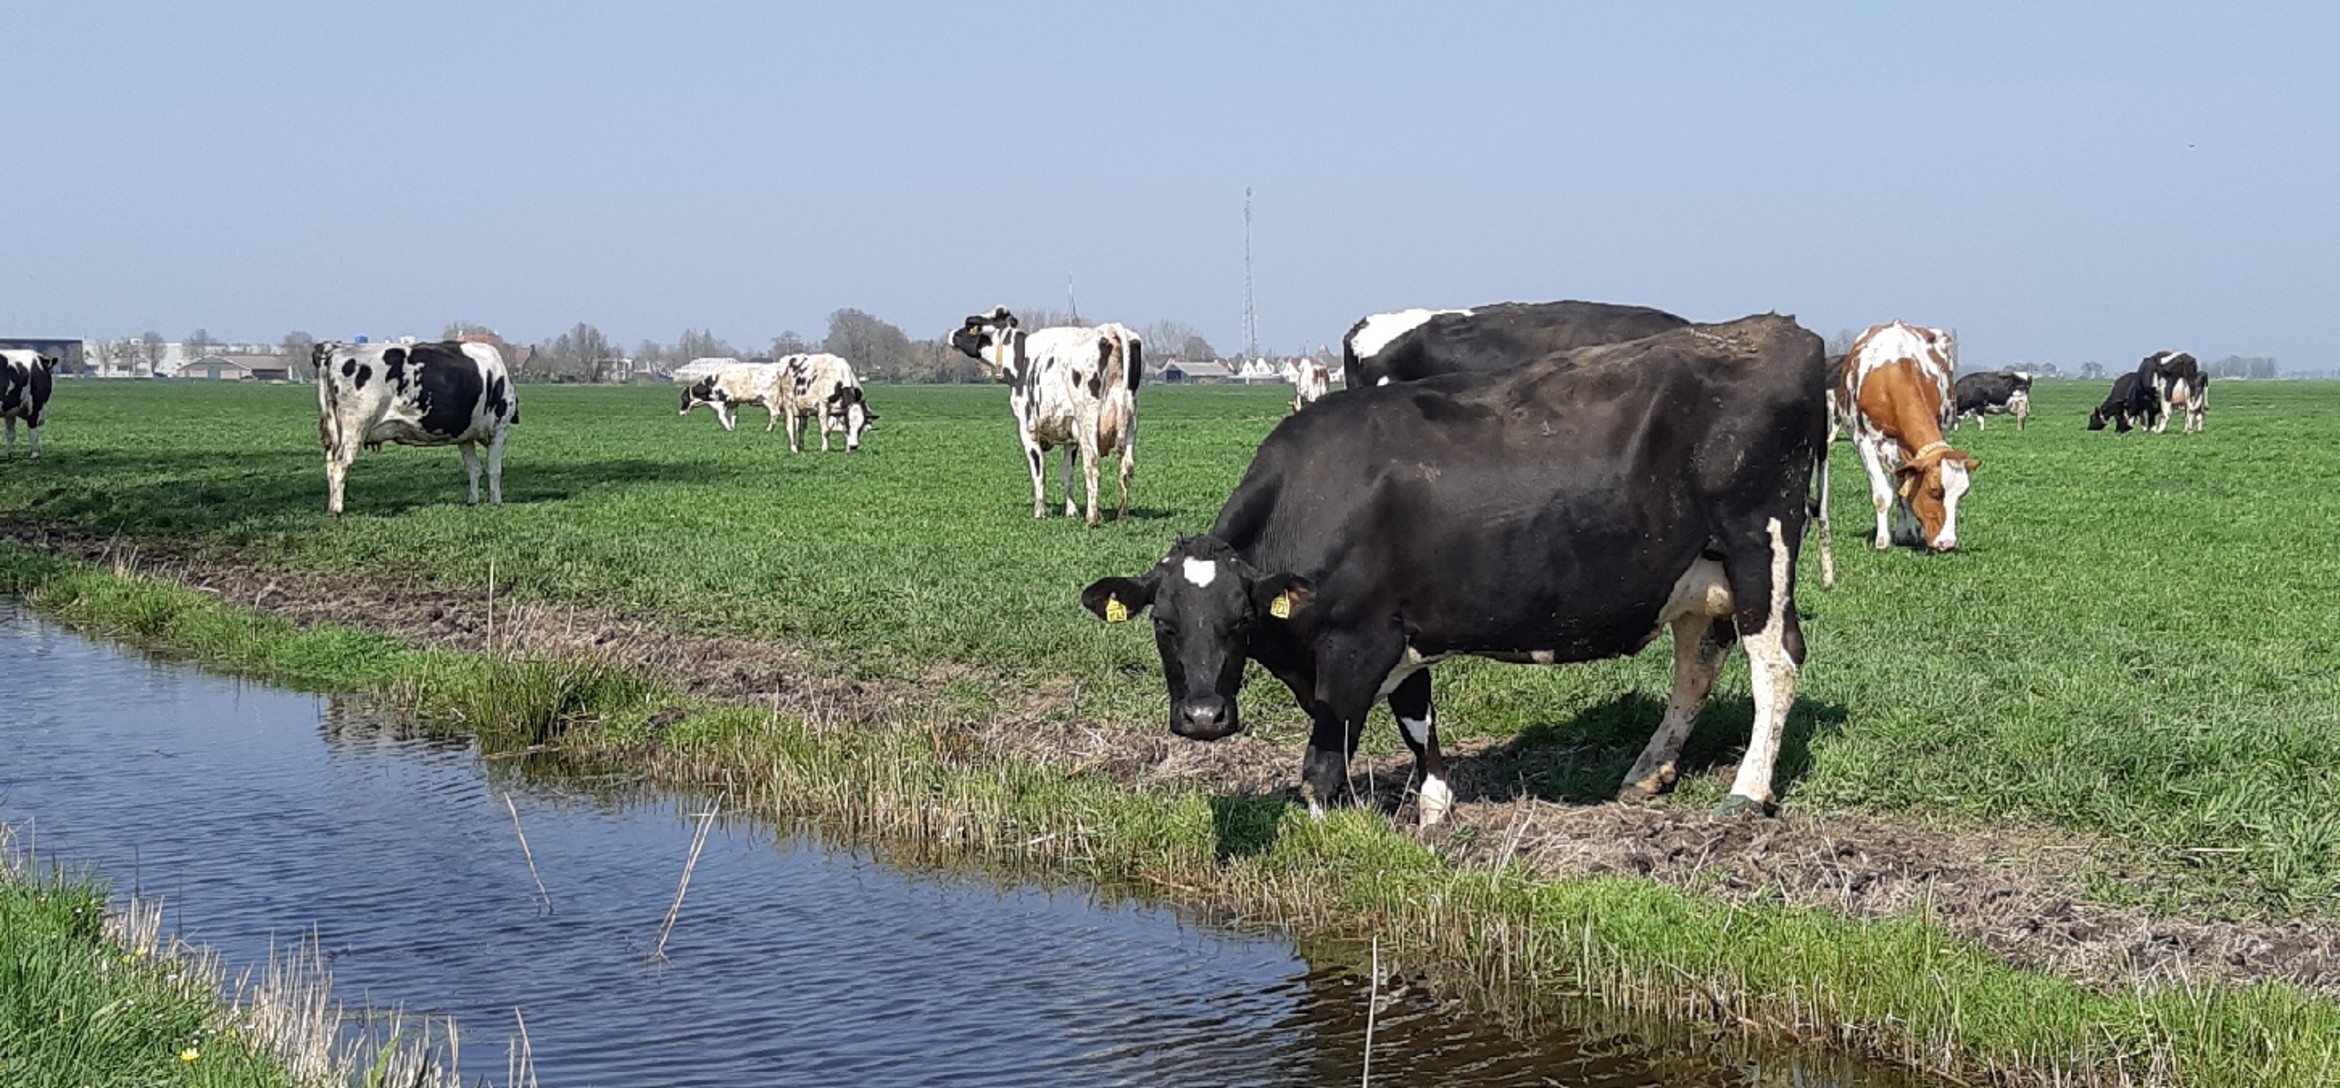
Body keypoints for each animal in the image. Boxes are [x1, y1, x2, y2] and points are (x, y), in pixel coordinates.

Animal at [940, 304, 1141, 526]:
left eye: (969, 325)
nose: (951, 334)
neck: (1019, 359)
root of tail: (1109, 330)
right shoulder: (1071, 436)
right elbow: (1067, 475)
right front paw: (1071, 512)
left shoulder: (1028, 429)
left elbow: (1039, 473)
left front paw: (1039, 512)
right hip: (1130, 422)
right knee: (1126, 468)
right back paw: (1122, 515)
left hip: (1089, 421)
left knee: (1092, 465)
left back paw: (1092, 518)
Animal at [1076, 311, 1825, 823]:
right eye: (1164, 625)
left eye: (1239, 620)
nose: (1203, 717)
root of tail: (1783, 331)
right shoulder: (1401, 629)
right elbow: (1418, 720)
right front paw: (1436, 809)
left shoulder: (1356, 645)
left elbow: (1323, 771)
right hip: (1697, 573)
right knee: (1698, 662)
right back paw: (1646, 771)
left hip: (1760, 549)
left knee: (1776, 660)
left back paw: (1747, 791)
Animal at [1825, 315, 1974, 552]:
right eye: (1934, 490)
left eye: (1962, 493)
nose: (1948, 542)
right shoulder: (1863, 439)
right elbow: (1881, 493)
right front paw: (1883, 540)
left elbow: (1905, 490)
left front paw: (1909, 533)